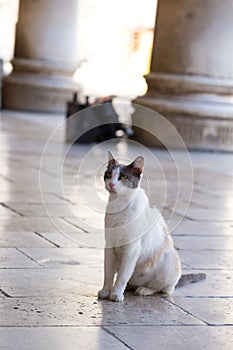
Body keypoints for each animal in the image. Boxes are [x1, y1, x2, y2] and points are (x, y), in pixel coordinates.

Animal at [99, 152, 206, 302]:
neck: (119, 206)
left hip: (168, 263)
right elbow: (108, 272)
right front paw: (106, 290)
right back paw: (131, 287)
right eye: (109, 174)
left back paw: (144, 289)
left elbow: (122, 276)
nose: (111, 184)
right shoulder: (110, 246)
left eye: (123, 177)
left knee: (163, 289)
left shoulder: (131, 249)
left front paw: (116, 293)